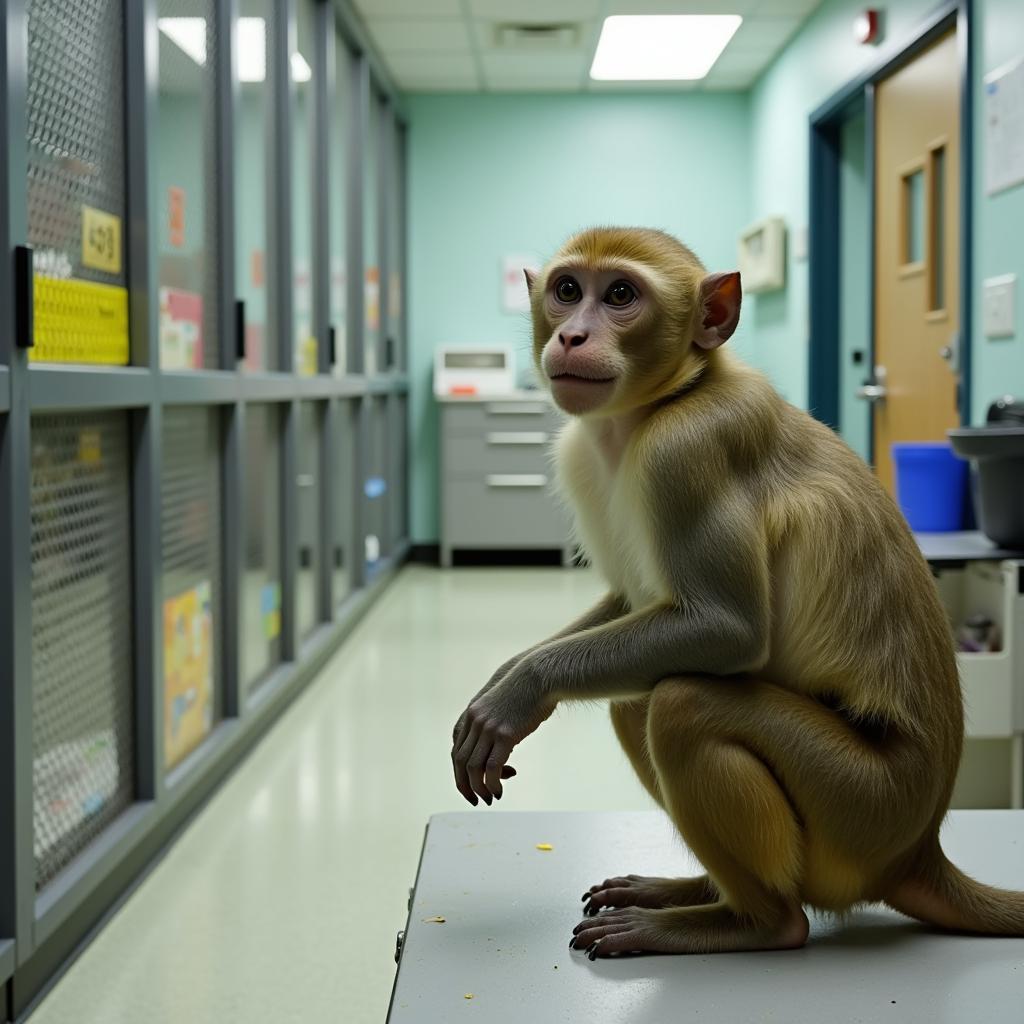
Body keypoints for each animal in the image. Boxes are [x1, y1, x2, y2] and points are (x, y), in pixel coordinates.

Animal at [450, 226, 1024, 958]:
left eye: (620, 295)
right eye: (568, 290)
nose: (572, 335)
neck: (669, 397)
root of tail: (918, 851)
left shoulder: (686, 451)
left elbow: (724, 629)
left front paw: (520, 692)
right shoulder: (586, 456)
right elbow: (639, 605)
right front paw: (505, 675)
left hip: (862, 807)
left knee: (682, 704)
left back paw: (752, 921)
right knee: (637, 699)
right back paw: (703, 892)